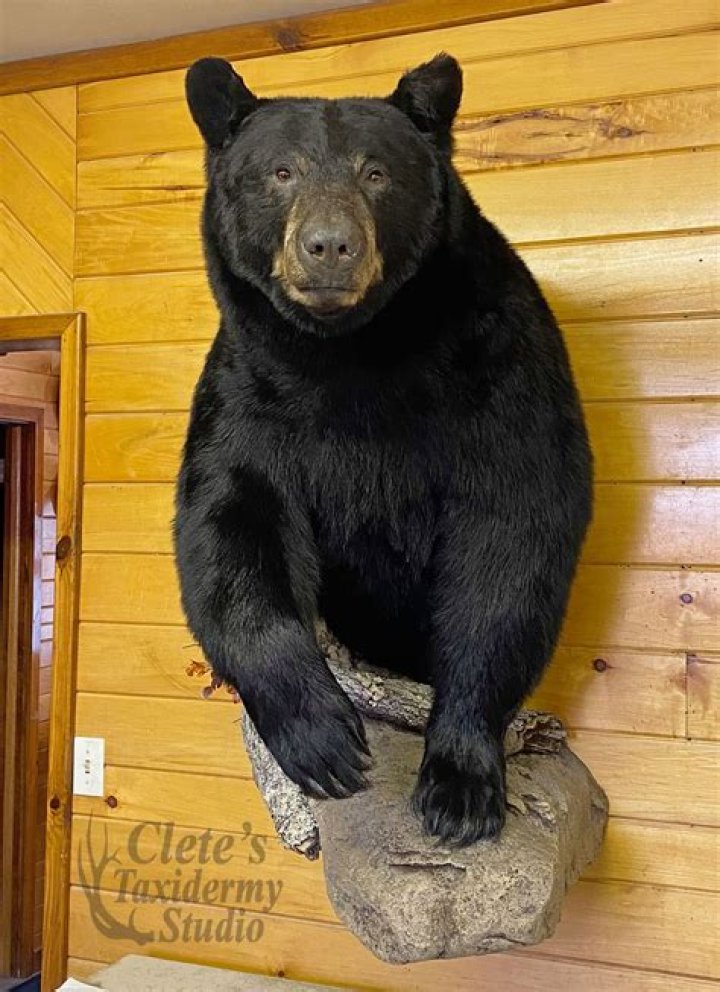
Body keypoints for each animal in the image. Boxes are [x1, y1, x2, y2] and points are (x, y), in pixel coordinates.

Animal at [174, 53, 592, 846]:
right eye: (281, 171)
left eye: (377, 173)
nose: (329, 245)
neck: (351, 354)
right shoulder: (251, 395)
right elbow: (230, 528)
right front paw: (324, 743)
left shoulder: (497, 373)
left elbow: (510, 536)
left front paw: (460, 784)